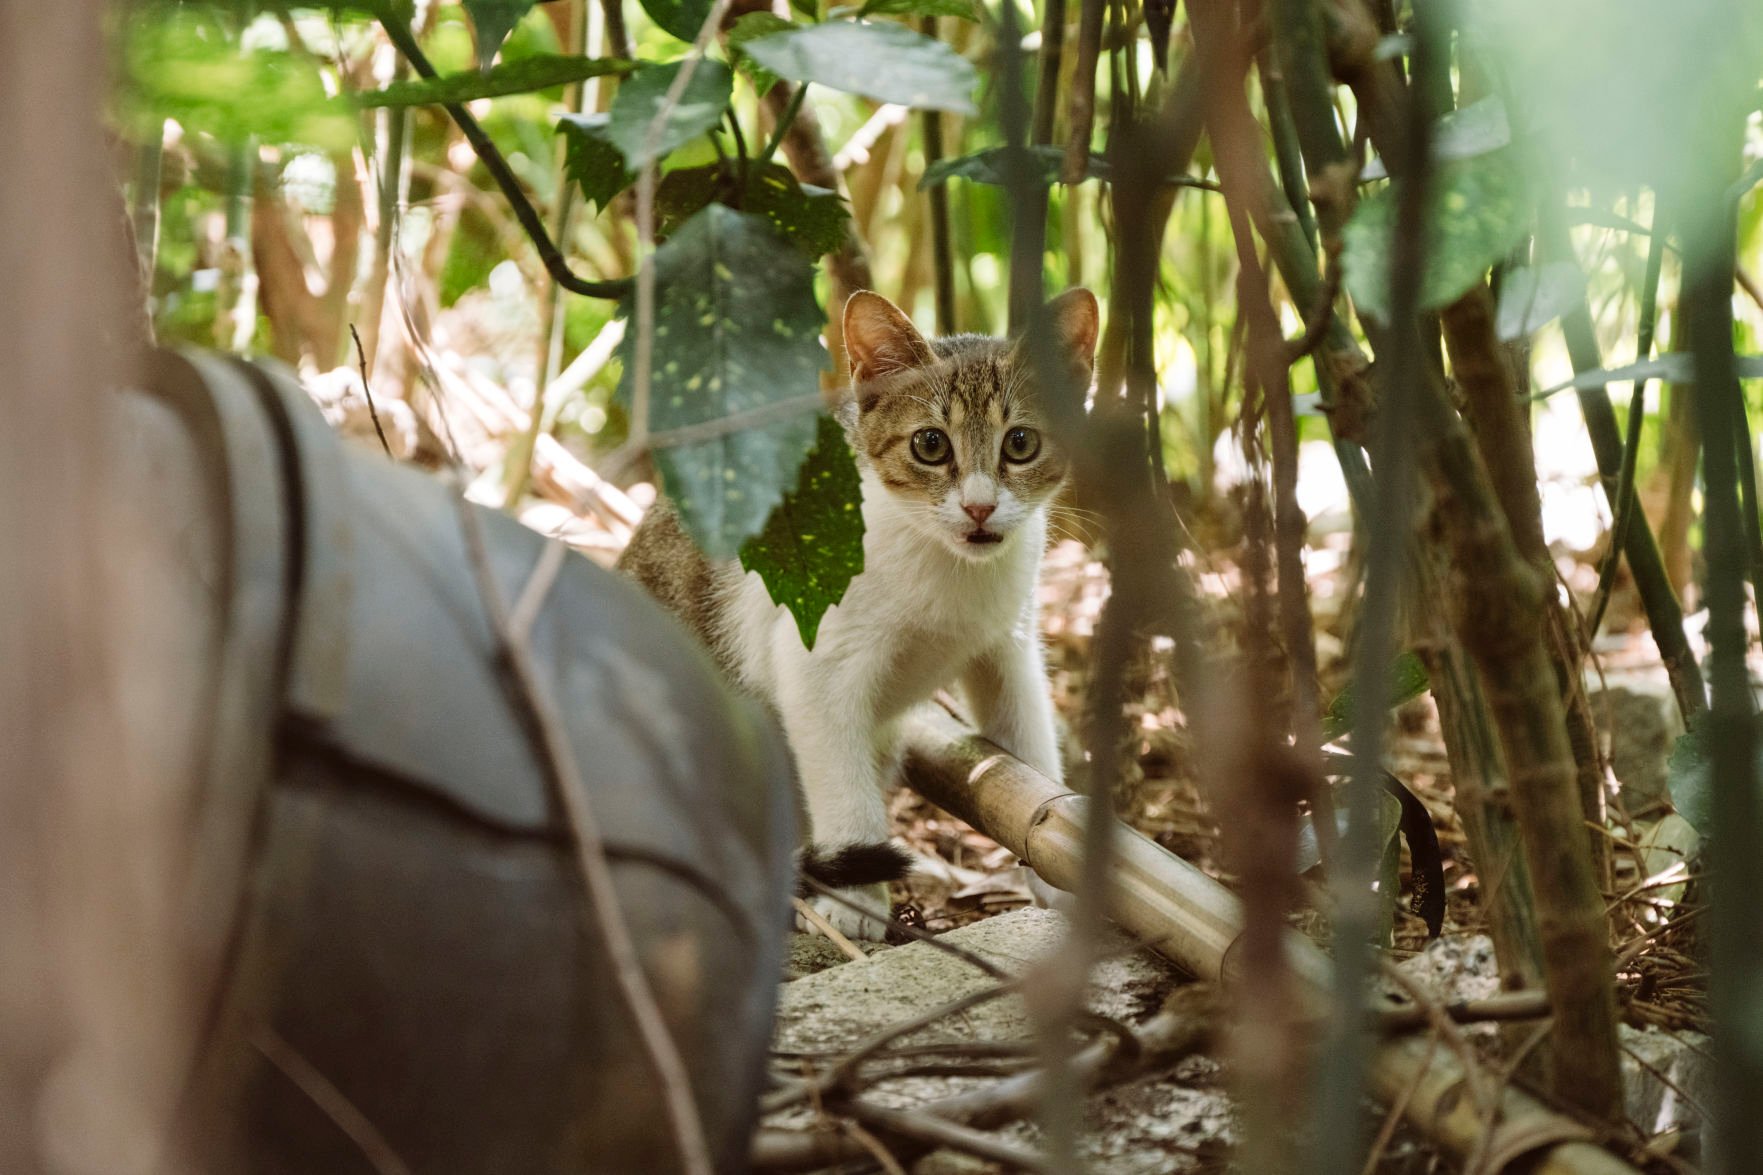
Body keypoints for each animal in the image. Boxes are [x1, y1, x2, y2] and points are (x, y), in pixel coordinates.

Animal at [613, 287, 1093, 938]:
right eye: (930, 444)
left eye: (1020, 443)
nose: (979, 508)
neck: (945, 566)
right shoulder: (815, 660)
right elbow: (842, 785)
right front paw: (858, 896)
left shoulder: (1007, 641)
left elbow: (1030, 748)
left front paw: (1059, 878)